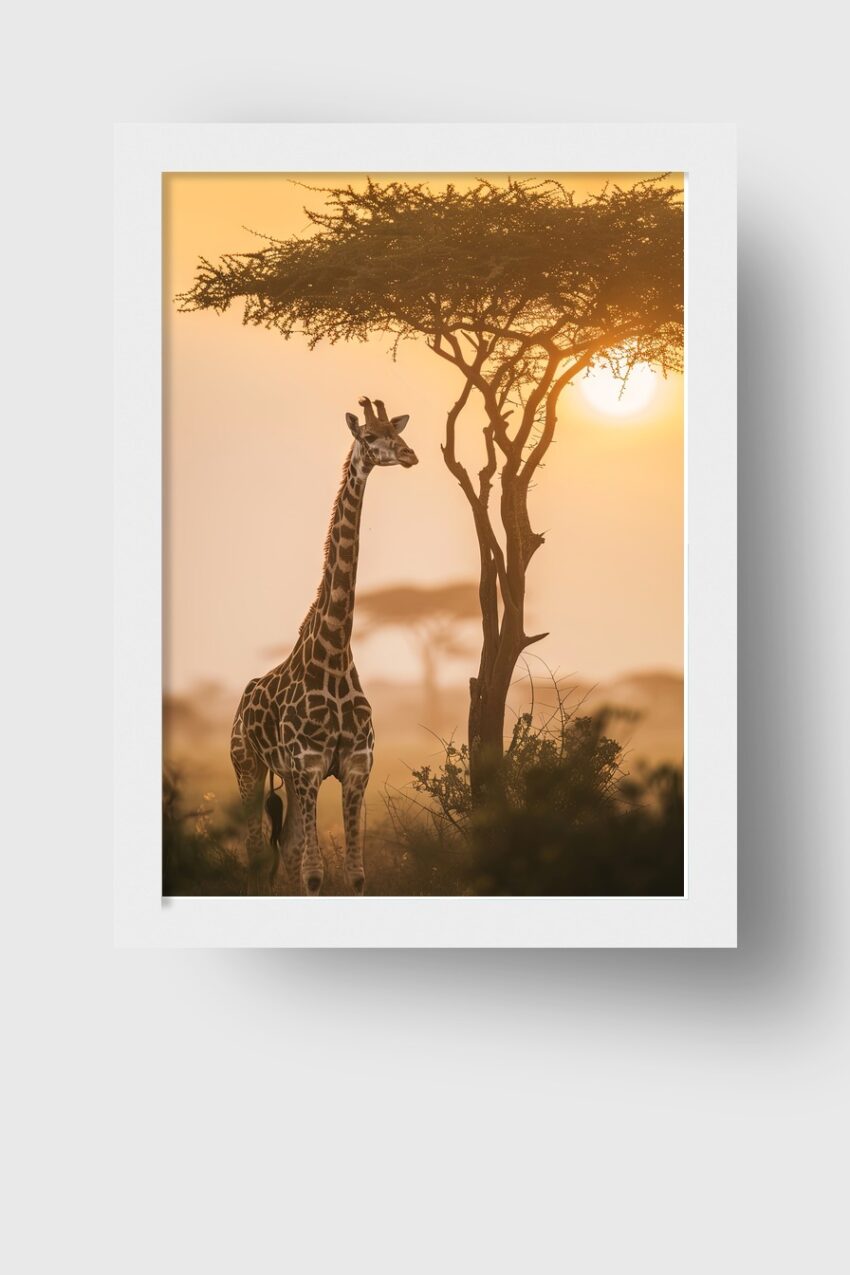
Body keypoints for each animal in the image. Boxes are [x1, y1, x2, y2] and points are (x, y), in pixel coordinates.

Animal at [230, 397, 418, 896]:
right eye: (369, 437)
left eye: (397, 431)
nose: (409, 454)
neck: (334, 652)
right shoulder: (309, 766)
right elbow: (315, 876)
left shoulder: (354, 768)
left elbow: (353, 875)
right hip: (248, 766)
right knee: (256, 852)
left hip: (287, 780)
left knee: (288, 848)